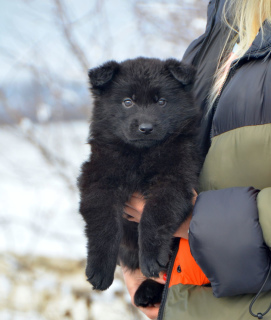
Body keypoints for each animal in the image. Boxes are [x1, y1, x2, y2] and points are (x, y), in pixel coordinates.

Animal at [78, 57, 202, 308]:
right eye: (128, 102)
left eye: (161, 102)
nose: (146, 128)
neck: (140, 155)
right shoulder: (98, 178)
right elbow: (103, 224)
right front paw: (99, 268)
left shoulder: (174, 178)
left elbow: (154, 216)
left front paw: (152, 256)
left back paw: (149, 290)